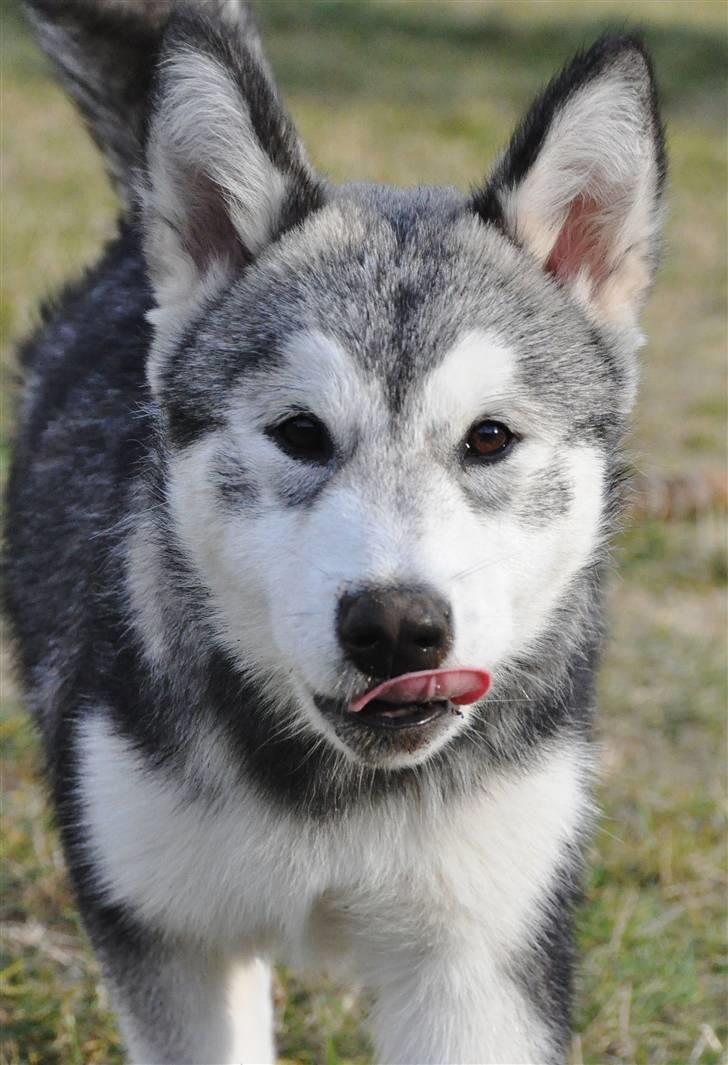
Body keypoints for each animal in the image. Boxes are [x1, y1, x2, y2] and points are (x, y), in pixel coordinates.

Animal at [4, 2, 664, 1065]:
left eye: (489, 437)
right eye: (300, 433)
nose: (396, 628)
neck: (338, 793)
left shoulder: (481, 961)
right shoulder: (166, 932)